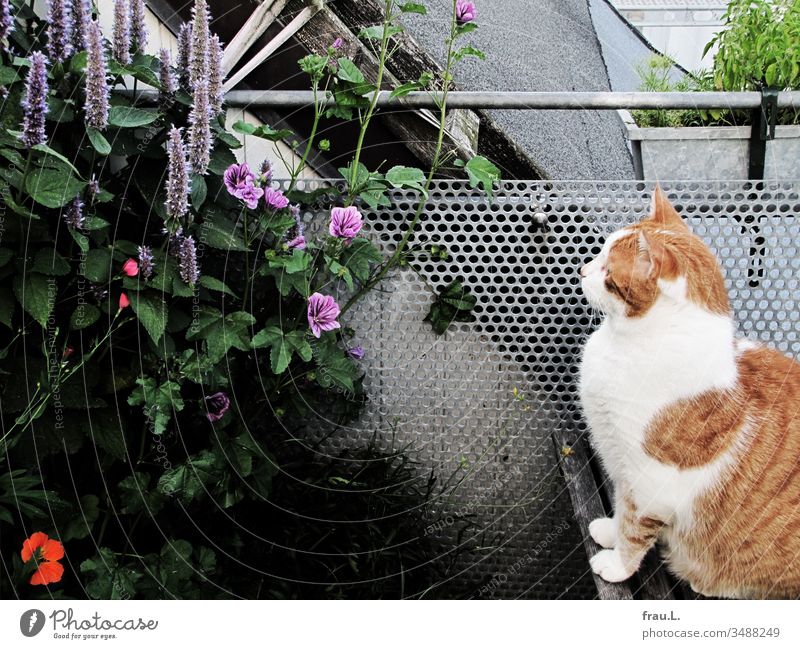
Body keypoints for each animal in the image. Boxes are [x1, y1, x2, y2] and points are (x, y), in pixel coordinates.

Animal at [580, 186, 800, 596]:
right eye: (598, 253)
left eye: (607, 272)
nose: (582, 270)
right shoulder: (620, 465)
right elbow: (619, 506)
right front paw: (609, 530)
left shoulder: (650, 485)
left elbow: (634, 532)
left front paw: (617, 564)